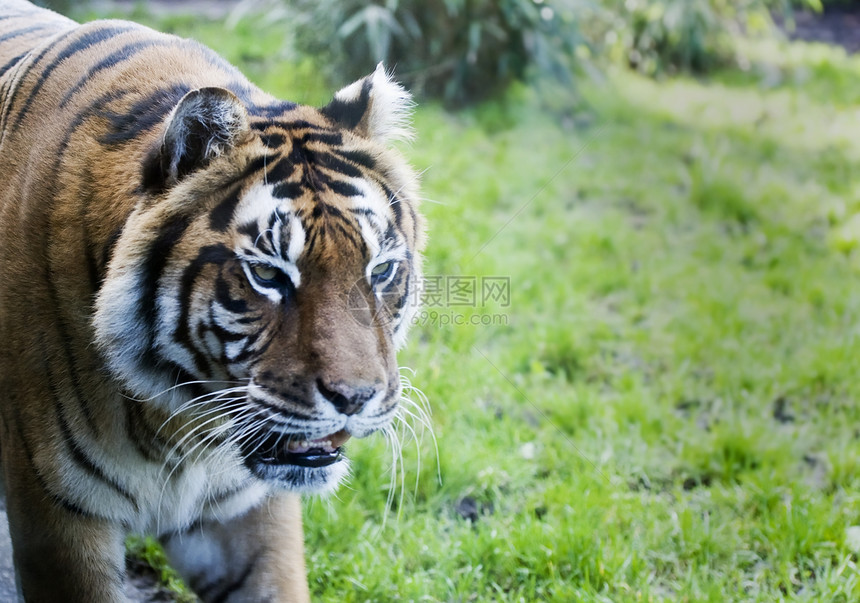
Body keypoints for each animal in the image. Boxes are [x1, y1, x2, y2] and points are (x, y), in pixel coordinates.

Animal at [0, 2, 426, 600]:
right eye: (268, 275)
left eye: (381, 270)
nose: (355, 399)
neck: (174, 424)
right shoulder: (56, 515)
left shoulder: (248, 512)